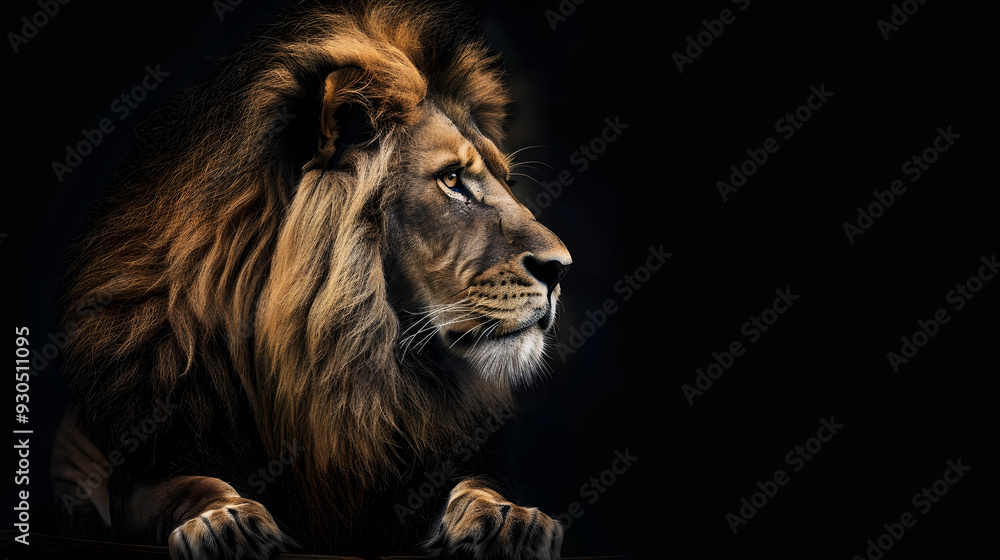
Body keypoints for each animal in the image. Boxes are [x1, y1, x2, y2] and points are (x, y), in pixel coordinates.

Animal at [53, 1, 571, 558]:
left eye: (506, 181)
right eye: (452, 179)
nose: (561, 267)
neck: (343, 363)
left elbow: (474, 485)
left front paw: (509, 519)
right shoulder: (143, 461)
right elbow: (184, 487)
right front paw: (226, 522)